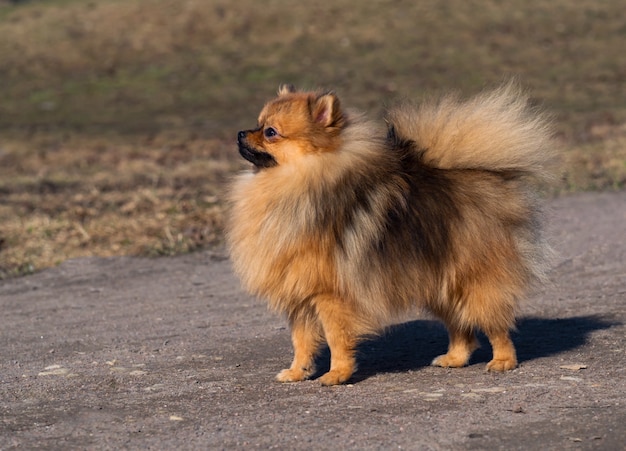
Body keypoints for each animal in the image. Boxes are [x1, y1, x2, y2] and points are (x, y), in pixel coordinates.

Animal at [227, 83, 548, 386]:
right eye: (257, 123)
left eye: (270, 132)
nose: (240, 133)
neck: (292, 182)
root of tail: (486, 176)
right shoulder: (300, 295)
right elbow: (301, 341)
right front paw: (297, 372)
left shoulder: (330, 295)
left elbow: (336, 338)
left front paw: (337, 374)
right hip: (440, 283)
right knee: (461, 327)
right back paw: (454, 358)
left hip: (473, 281)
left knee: (495, 323)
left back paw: (503, 360)